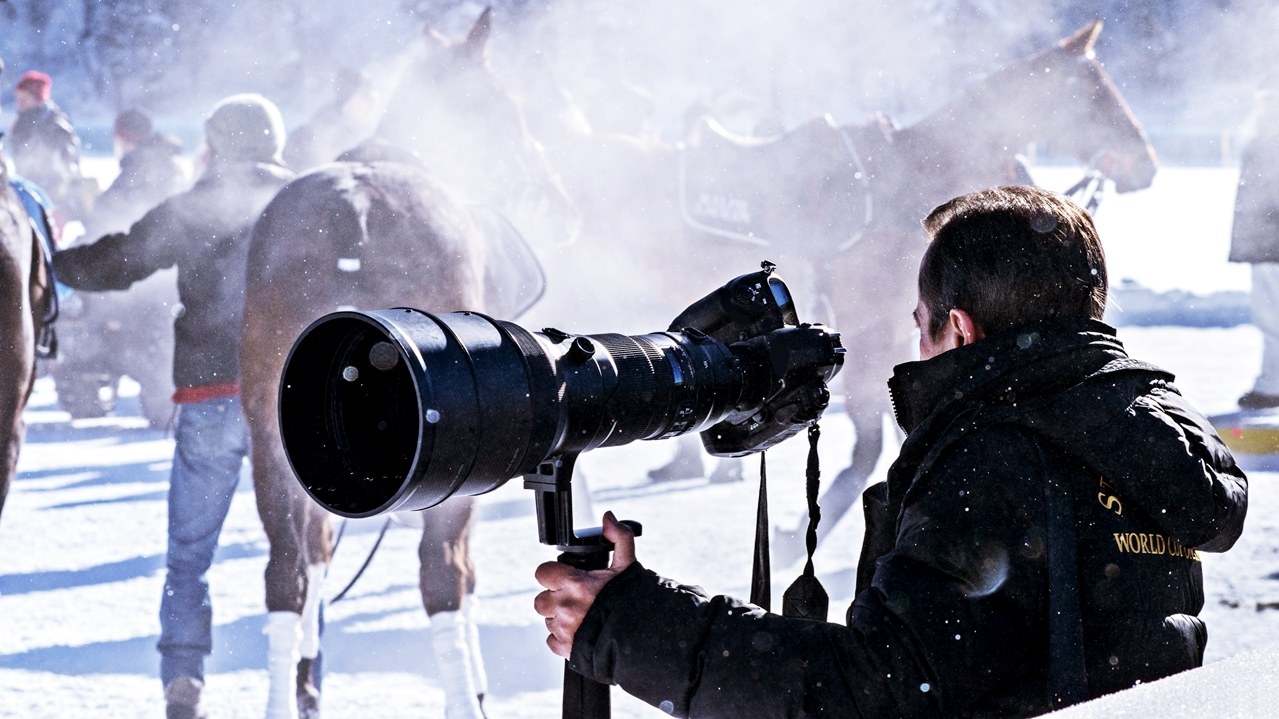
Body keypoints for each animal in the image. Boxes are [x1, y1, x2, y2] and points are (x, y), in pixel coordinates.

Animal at [239, 9, 571, 718]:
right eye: (506, 107)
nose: (559, 201)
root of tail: (356, 216)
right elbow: (463, 573)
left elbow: (316, 555)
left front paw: (309, 678)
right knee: (442, 571)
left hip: (267, 433)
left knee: (287, 572)